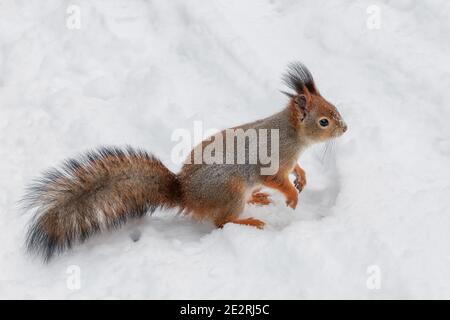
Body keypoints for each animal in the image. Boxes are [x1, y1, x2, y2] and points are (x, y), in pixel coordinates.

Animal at [22, 61, 348, 262]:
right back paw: (250, 220)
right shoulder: (271, 161)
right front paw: (292, 196)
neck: (292, 134)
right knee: (221, 222)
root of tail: (185, 194)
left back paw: (257, 199)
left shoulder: (289, 161)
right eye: (323, 121)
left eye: (334, 107)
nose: (345, 128)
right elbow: (276, 179)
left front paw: (302, 177)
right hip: (230, 190)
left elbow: (296, 169)